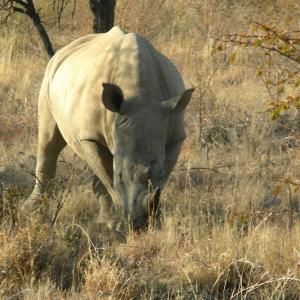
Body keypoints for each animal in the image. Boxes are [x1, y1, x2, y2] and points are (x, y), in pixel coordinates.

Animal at [24, 26, 193, 230]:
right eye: (120, 176)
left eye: (159, 174)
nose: (140, 223)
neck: (140, 95)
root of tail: (64, 50)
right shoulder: (90, 136)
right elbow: (108, 176)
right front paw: (117, 223)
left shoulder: (175, 134)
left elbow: (163, 172)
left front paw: (156, 220)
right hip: (49, 77)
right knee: (49, 141)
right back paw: (30, 211)